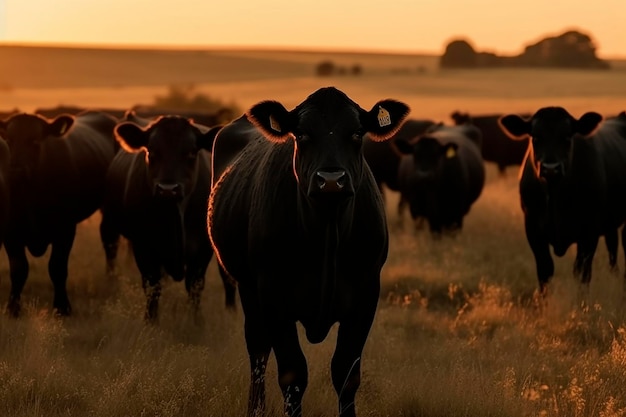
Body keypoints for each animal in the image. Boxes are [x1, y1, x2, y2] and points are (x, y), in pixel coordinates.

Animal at [0, 110, 118, 316]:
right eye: (9, 140)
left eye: (35, 141)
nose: (16, 172)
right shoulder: (11, 230)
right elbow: (18, 269)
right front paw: (13, 308)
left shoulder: (65, 228)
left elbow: (57, 267)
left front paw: (63, 307)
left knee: (110, 239)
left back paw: (110, 278)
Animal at [100, 114, 236, 318]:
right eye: (151, 151)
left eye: (191, 152)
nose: (168, 189)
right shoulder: (143, 245)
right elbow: (152, 287)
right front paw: (151, 322)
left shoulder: (203, 248)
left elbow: (195, 287)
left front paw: (197, 321)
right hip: (109, 223)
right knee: (111, 251)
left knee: (228, 278)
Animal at [207, 86, 408, 414]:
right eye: (301, 134)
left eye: (356, 133)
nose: (331, 180)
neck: (327, 232)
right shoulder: (273, 296)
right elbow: (293, 374)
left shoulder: (366, 295)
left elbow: (346, 372)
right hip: (248, 289)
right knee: (258, 351)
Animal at [500, 106, 624, 292]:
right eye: (536, 137)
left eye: (566, 137)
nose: (551, 168)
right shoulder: (533, 229)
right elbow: (545, 271)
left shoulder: (589, 232)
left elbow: (582, 273)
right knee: (612, 247)